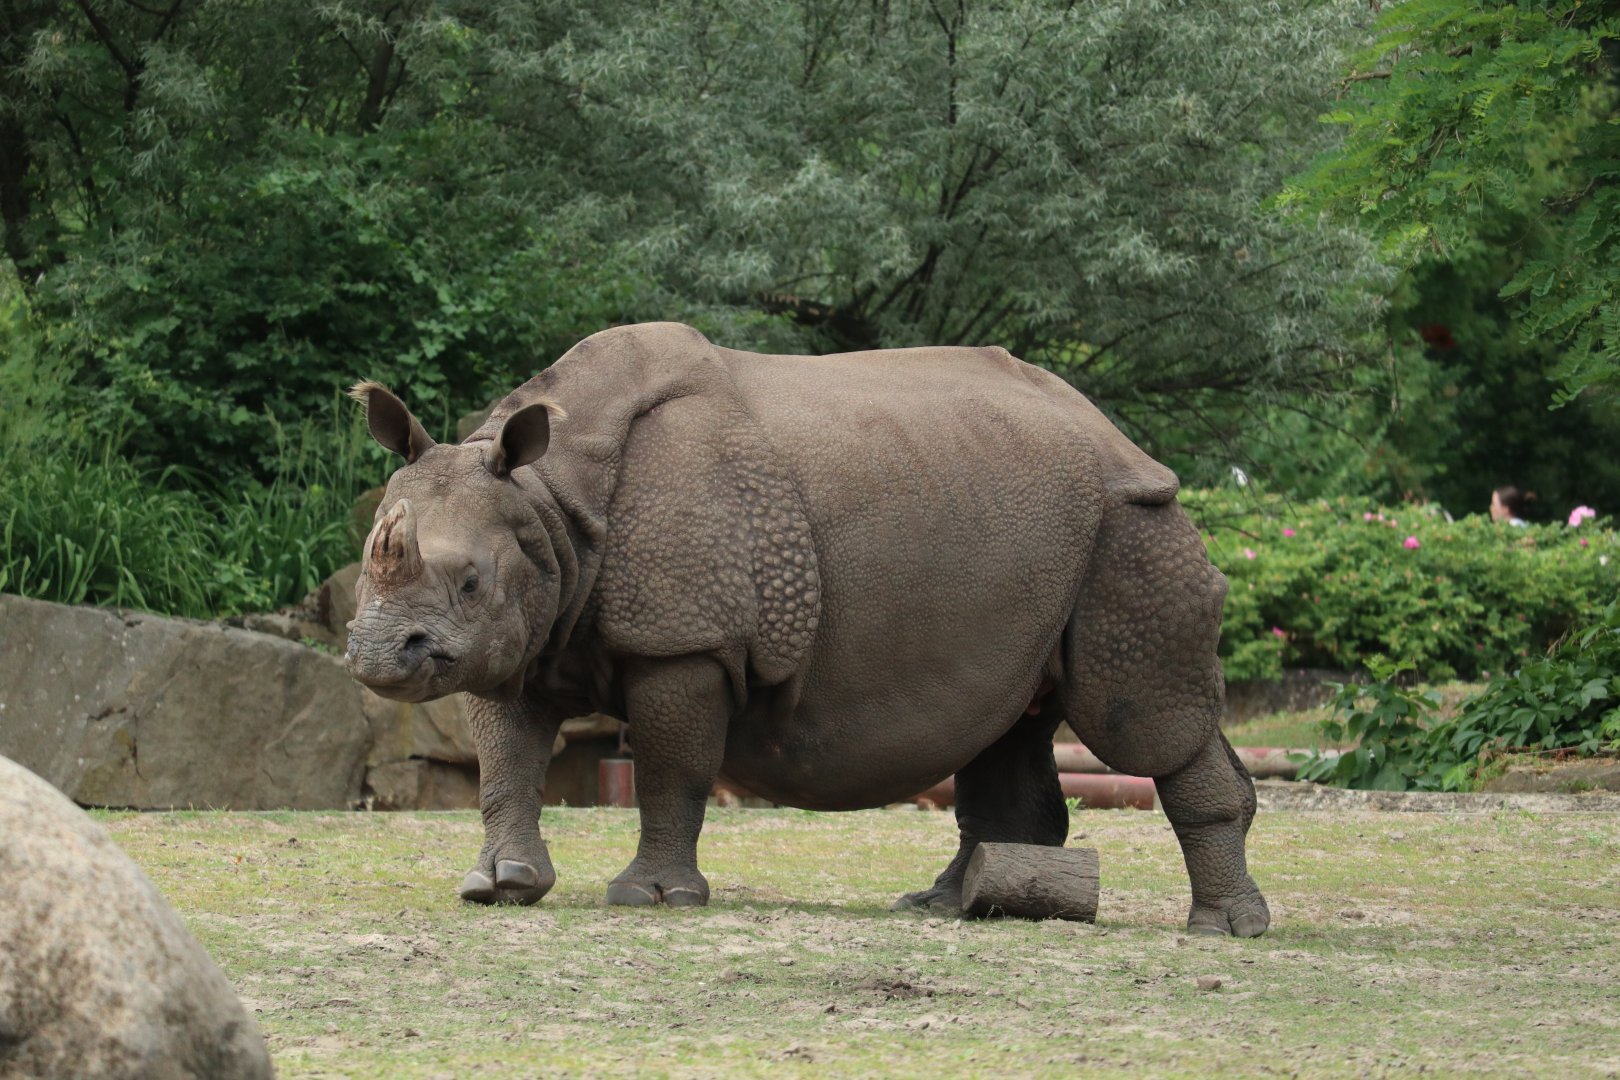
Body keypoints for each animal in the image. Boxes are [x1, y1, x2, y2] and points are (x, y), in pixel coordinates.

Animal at [346, 322, 1270, 936]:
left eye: (471, 580)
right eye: (367, 562)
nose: (378, 654)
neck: (549, 504)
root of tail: (1120, 436)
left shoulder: (687, 639)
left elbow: (671, 767)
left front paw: (651, 899)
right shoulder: (518, 637)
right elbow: (507, 763)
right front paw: (496, 887)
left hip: (1132, 527)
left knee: (1141, 725)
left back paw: (1222, 930)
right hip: (1036, 534)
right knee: (1008, 722)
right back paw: (948, 906)